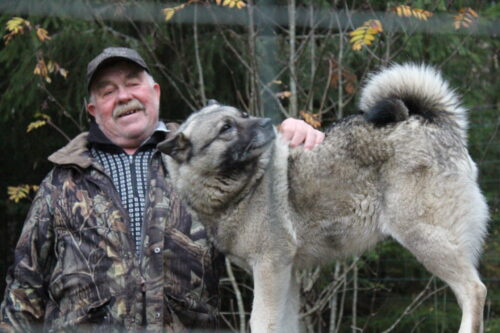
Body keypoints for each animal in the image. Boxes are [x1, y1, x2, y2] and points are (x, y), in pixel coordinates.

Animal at [159, 63, 488, 330]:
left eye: (244, 115)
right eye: (226, 127)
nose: (266, 122)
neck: (247, 185)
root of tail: (432, 121)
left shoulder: (270, 269)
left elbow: (260, 321)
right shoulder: (286, 274)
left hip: (425, 238)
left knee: (475, 290)